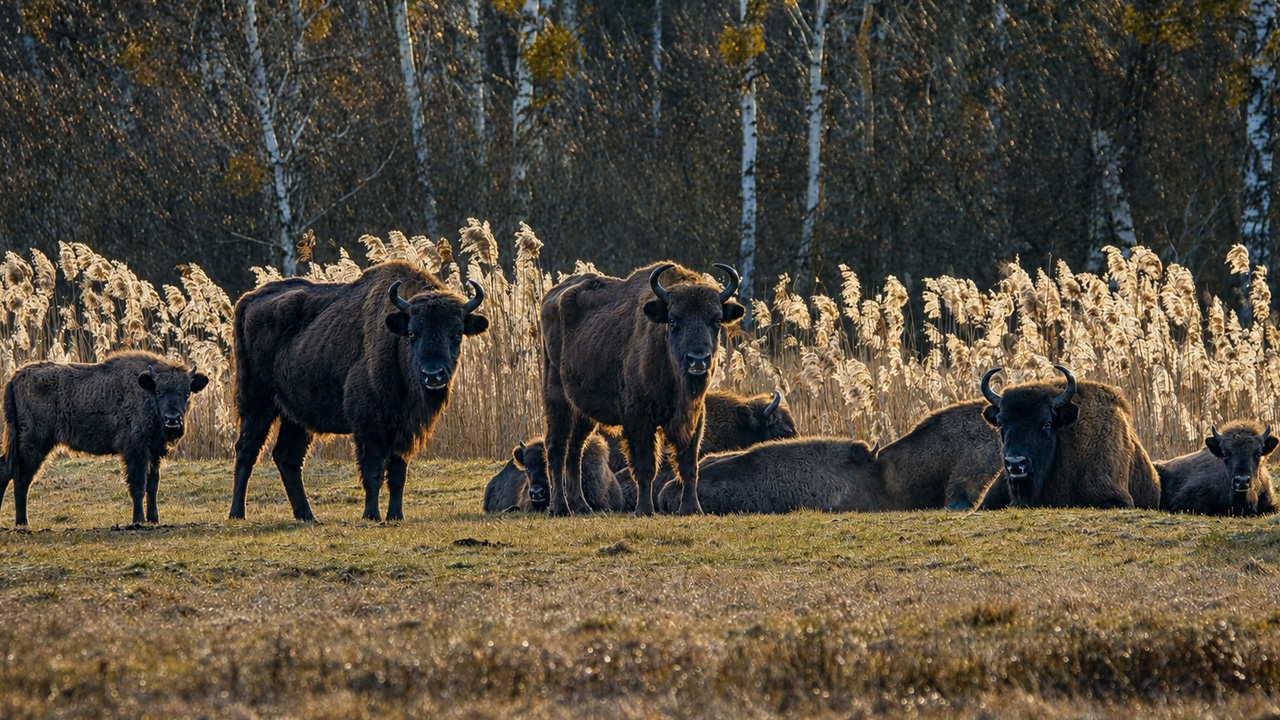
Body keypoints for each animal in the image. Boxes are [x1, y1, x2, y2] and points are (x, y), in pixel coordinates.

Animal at [1, 351, 208, 526]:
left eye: (186, 393)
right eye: (159, 392)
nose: (172, 418)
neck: (146, 392)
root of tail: (15, 377)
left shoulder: (155, 452)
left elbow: (153, 485)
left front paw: (154, 519)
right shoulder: (135, 451)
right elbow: (138, 485)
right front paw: (138, 520)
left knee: (11, 472)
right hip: (34, 443)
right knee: (19, 477)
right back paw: (23, 522)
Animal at [228, 261, 487, 522]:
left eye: (457, 333)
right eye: (412, 332)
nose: (433, 374)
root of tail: (248, 300)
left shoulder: (403, 430)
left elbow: (397, 475)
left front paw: (395, 516)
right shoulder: (368, 427)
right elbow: (373, 472)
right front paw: (371, 515)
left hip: (296, 416)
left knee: (287, 457)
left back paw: (308, 516)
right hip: (256, 404)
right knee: (246, 450)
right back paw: (237, 513)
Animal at [540, 262, 744, 516]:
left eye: (716, 320)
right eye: (673, 321)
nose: (697, 359)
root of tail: (551, 296)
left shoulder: (695, 417)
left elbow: (689, 465)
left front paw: (692, 508)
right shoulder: (638, 419)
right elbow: (646, 466)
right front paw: (645, 509)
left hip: (583, 411)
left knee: (575, 449)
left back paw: (581, 505)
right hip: (557, 399)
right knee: (556, 447)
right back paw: (560, 507)